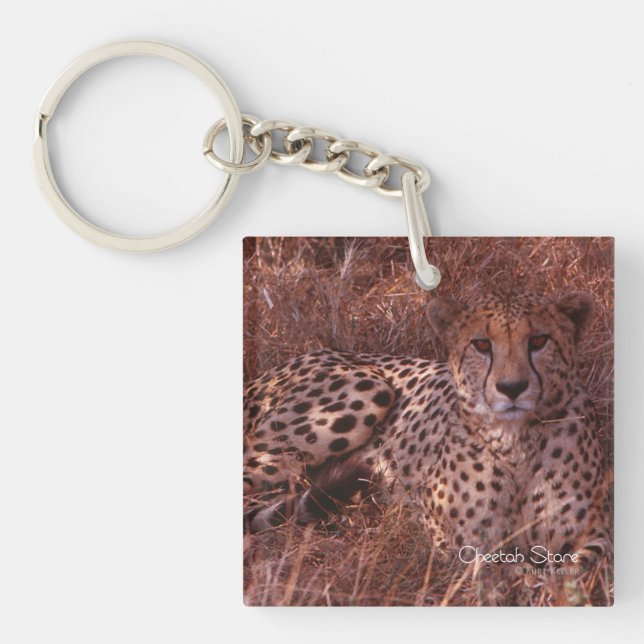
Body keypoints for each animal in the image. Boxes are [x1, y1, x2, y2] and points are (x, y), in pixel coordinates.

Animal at [243, 291, 611, 562]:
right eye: (481, 344)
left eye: (539, 341)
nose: (512, 388)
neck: (516, 442)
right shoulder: (454, 539)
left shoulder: (593, 536)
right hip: (368, 390)